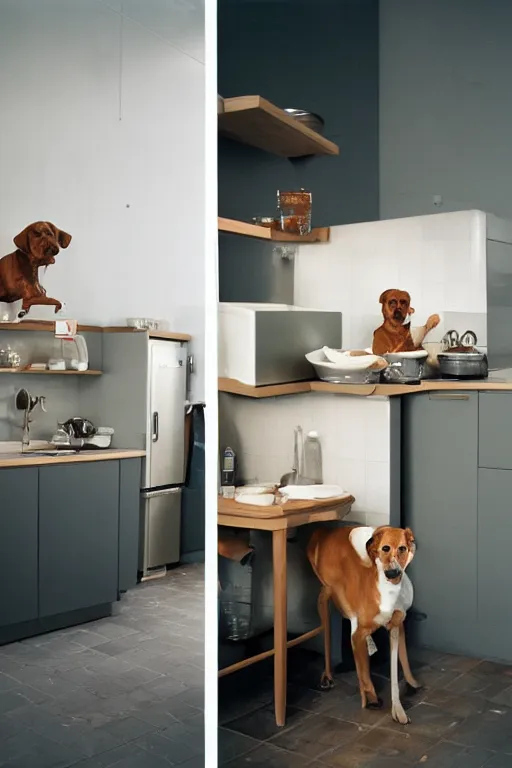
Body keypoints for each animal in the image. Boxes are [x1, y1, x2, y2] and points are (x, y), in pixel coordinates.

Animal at [306, 524, 422, 724]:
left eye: (402, 548)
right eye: (385, 548)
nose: (393, 573)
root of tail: (323, 531)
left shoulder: (395, 627)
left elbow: (394, 670)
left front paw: (398, 711)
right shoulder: (357, 633)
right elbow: (364, 672)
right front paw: (371, 699)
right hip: (326, 595)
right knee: (327, 630)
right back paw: (328, 676)